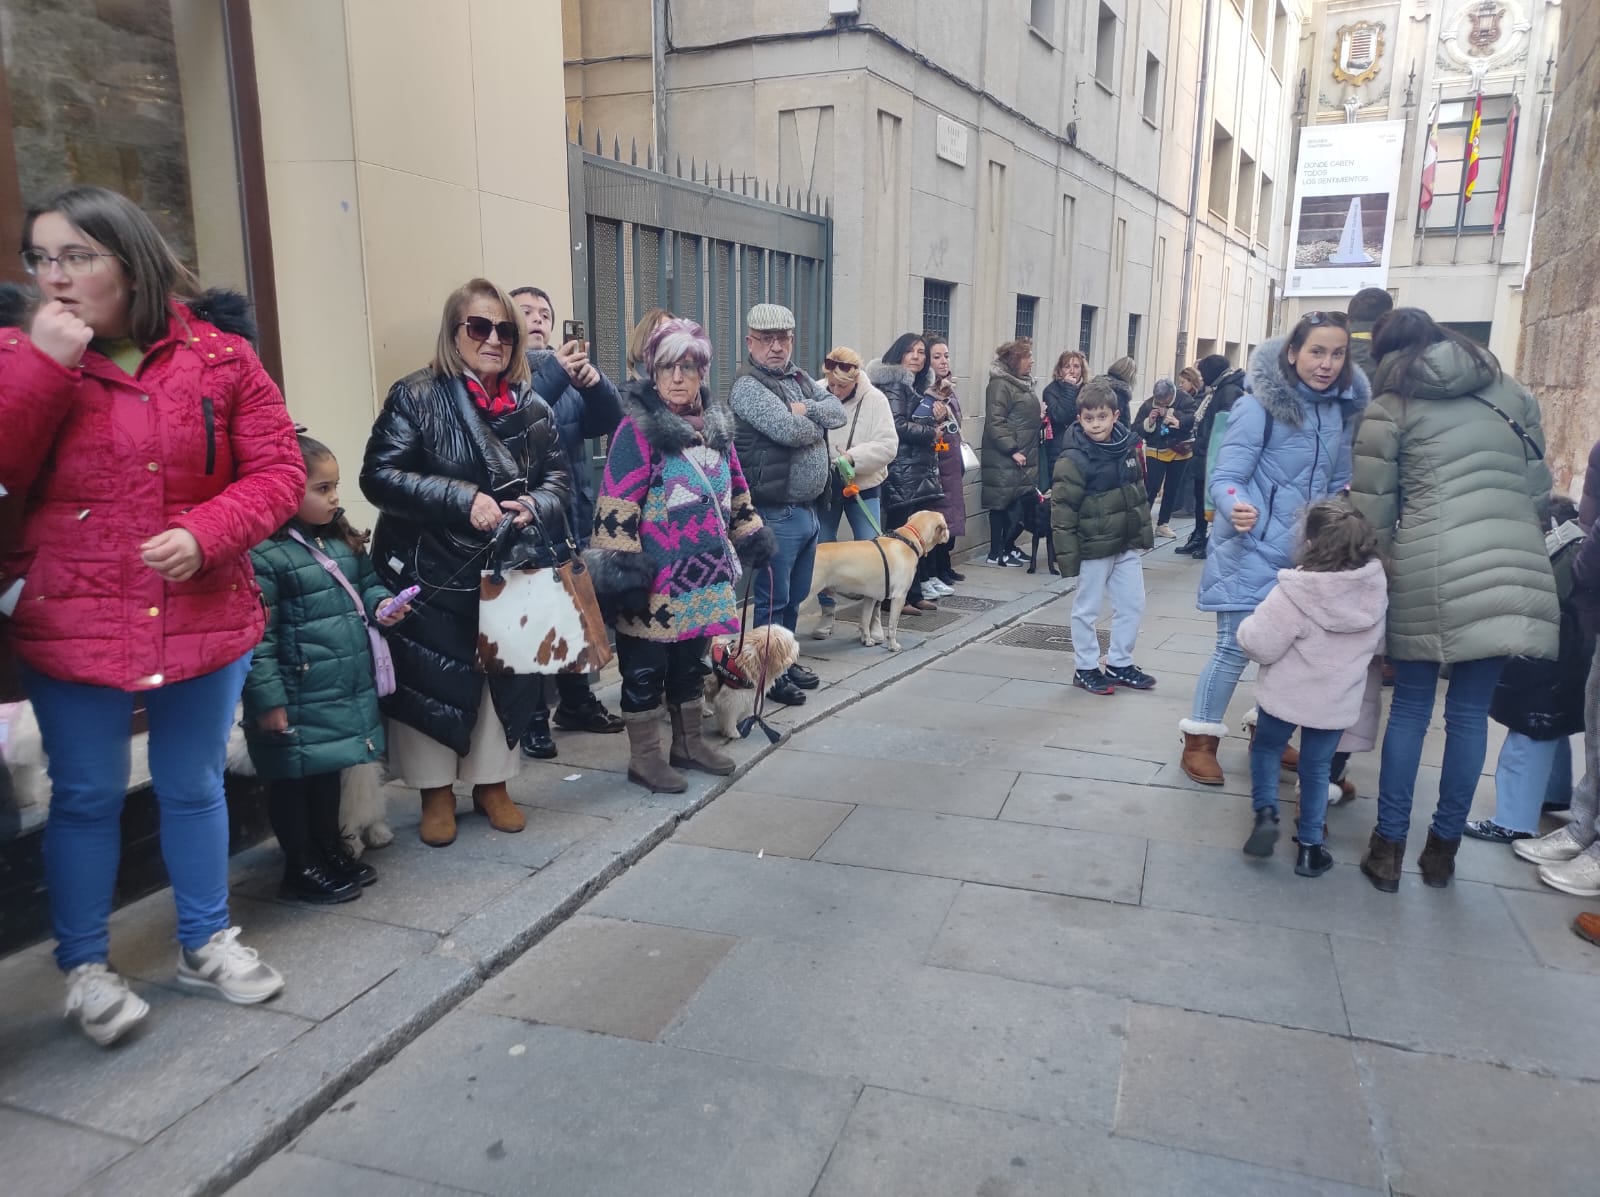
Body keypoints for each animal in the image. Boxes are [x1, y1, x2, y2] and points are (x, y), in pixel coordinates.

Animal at [812, 508, 947, 656]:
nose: (949, 533)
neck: (908, 539)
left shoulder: (870, 597)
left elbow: (865, 621)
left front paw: (867, 640)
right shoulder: (899, 597)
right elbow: (892, 625)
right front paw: (893, 646)